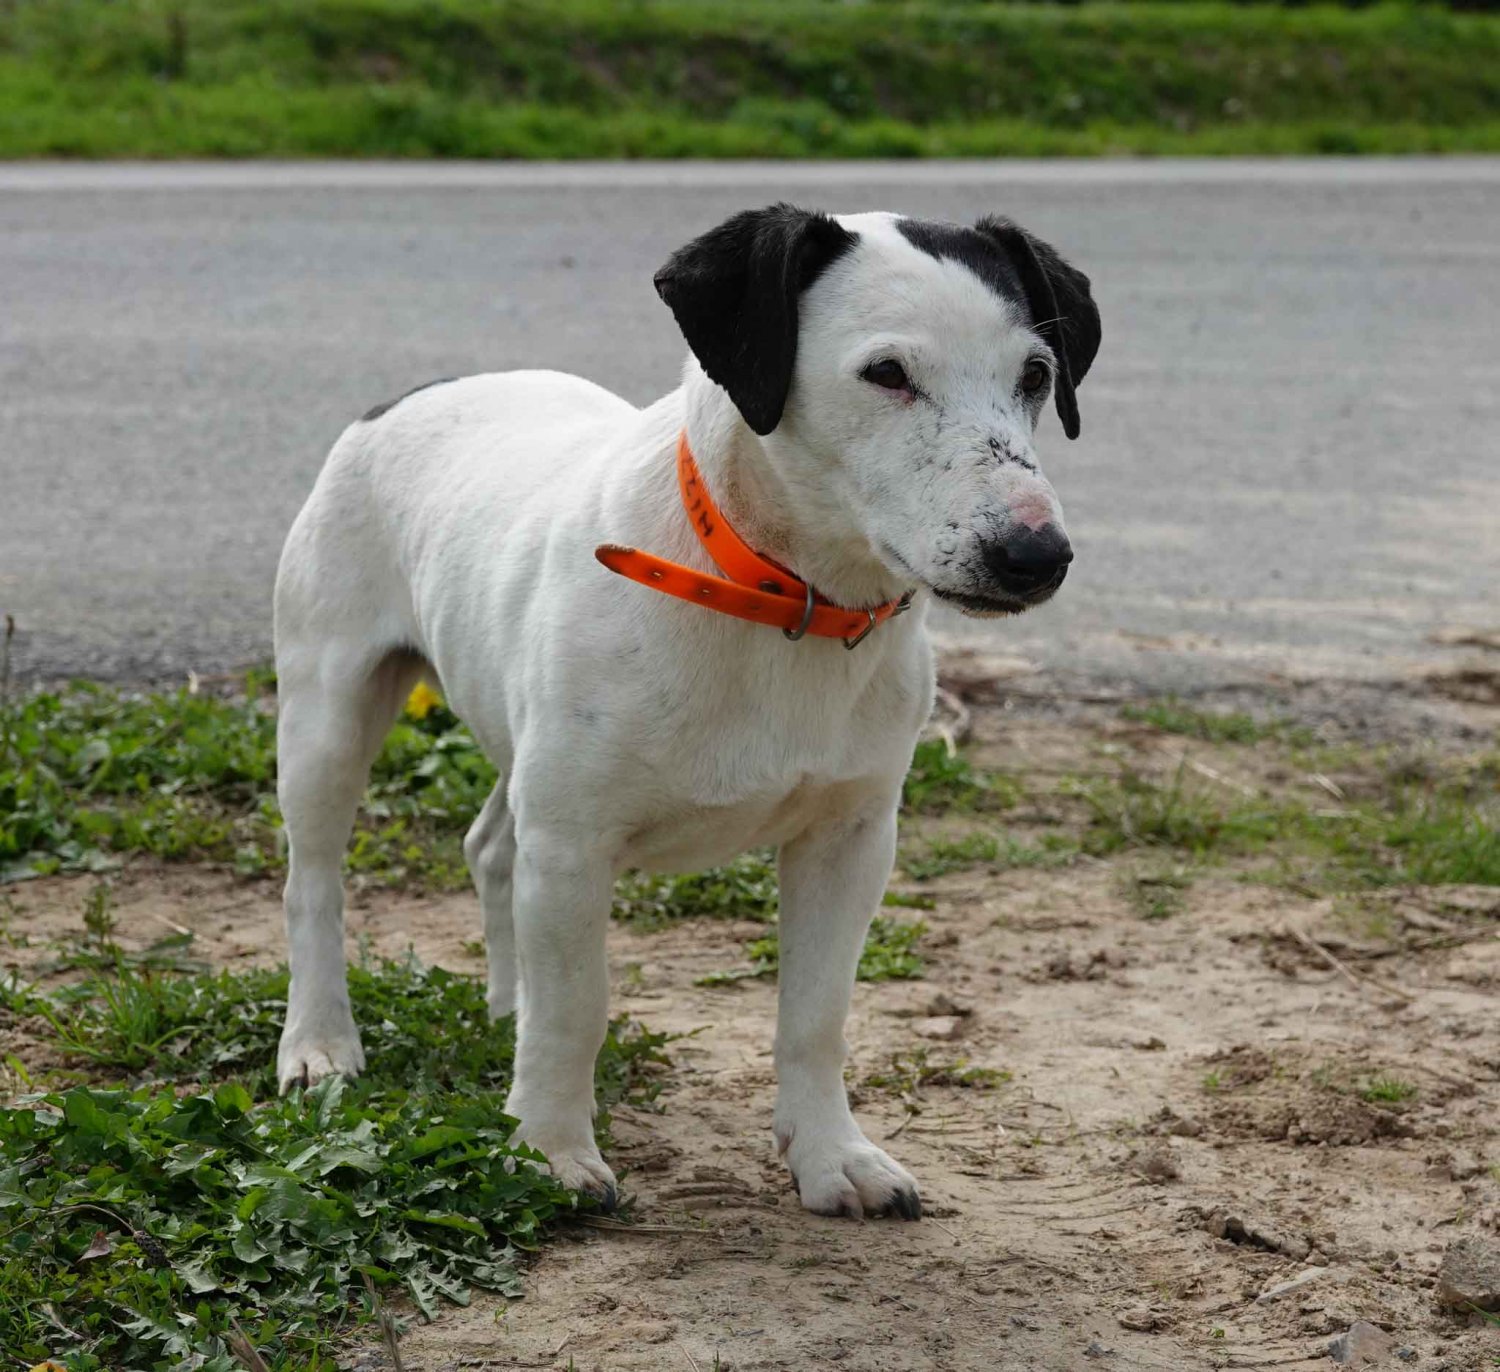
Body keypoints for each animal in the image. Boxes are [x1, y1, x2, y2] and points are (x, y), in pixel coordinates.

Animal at [273, 204, 1099, 1219]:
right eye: (887, 373)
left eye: (1036, 374)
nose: (1036, 555)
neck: (774, 592)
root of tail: (405, 396)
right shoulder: (573, 843)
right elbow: (576, 1008)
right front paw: (549, 1149)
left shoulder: (852, 839)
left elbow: (816, 1016)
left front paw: (831, 1154)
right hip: (328, 708)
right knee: (314, 882)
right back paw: (319, 1044)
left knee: (491, 847)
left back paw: (504, 1008)